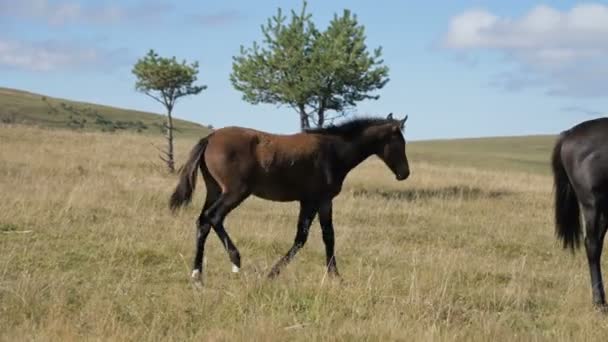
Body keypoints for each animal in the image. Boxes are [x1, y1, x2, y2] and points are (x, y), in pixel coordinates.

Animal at [169, 113, 410, 282]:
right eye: (400, 143)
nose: (404, 173)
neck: (333, 150)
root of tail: (210, 138)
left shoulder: (320, 201)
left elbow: (326, 236)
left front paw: (334, 275)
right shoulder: (314, 200)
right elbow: (304, 238)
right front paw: (273, 273)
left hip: (214, 189)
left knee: (203, 221)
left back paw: (197, 273)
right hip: (235, 192)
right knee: (214, 217)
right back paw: (235, 262)